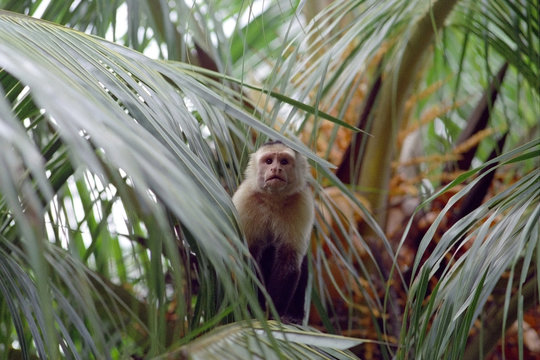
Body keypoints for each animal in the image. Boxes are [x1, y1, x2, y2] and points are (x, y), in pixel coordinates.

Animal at [233, 141, 316, 324]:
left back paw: (293, 315)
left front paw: (272, 313)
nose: (276, 169)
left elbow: (289, 259)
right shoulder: (244, 200)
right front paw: (254, 309)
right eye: (269, 161)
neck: (273, 199)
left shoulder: (302, 203)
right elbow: (245, 256)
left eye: (284, 162)